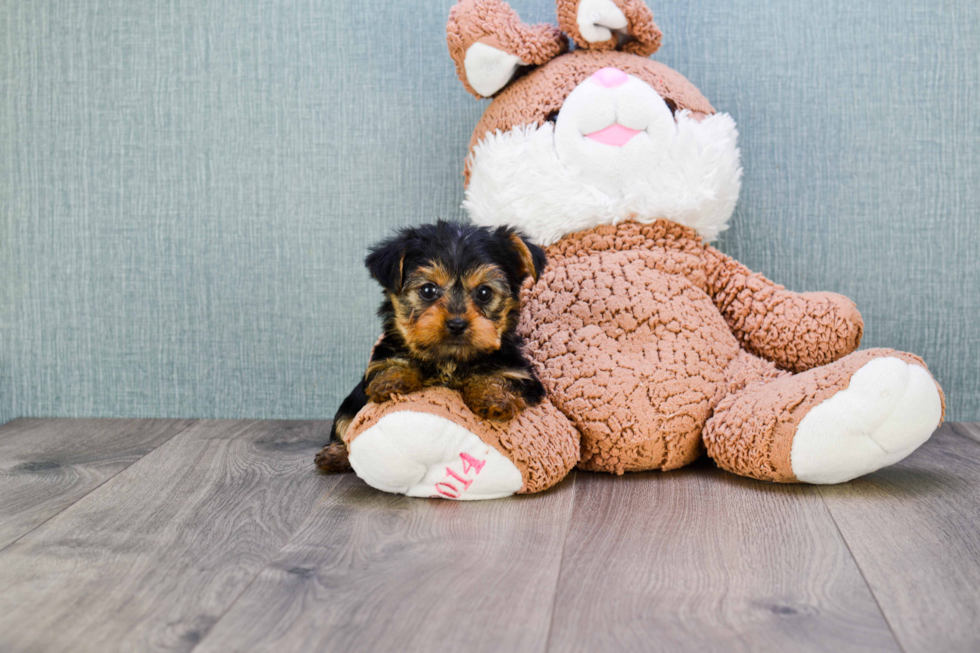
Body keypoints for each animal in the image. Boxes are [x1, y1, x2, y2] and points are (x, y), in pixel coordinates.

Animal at [314, 222, 548, 472]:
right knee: (346, 422)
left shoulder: (521, 374)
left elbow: (497, 377)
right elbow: (389, 368)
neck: (449, 360)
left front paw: (493, 398)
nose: (457, 323)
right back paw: (336, 454)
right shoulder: (381, 359)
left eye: (484, 292)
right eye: (428, 290)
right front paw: (392, 381)